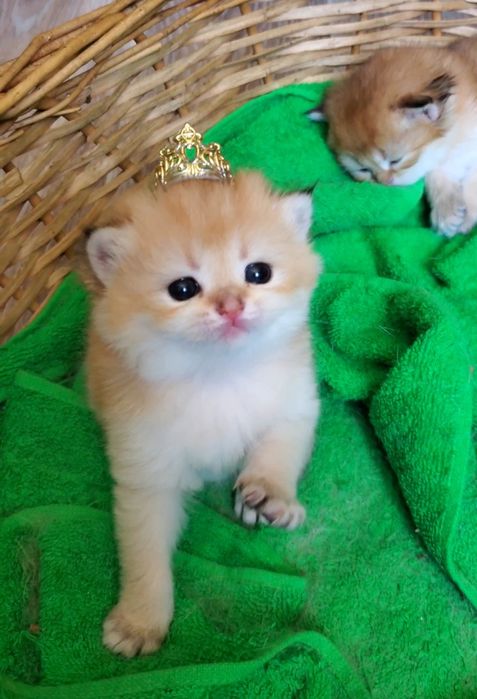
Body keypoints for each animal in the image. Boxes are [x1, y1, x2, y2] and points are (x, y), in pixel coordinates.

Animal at [85, 170, 322, 657]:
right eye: (183, 289)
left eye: (258, 273)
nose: (232, 306)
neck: (218, 374)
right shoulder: (146, 470)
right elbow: (145, 552)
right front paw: (139, 622)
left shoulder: (295, 404)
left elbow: (279, 450)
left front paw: (271, 497)